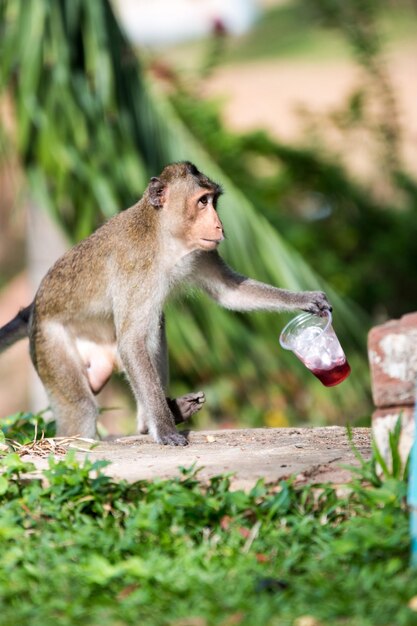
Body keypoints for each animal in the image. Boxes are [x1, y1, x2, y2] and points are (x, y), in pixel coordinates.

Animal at [0, 161, 332, 444]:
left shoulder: (200, 252)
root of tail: (36, 306)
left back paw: (153, 420)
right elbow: (132, 341)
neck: (162, 235)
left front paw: (306, 300)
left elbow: (229, 291)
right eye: (202, 202)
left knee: (155, 328)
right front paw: (164, 428)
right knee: (82, 407)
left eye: (214, 201)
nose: (219, 226)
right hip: (48, 342)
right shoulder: (135, 262)